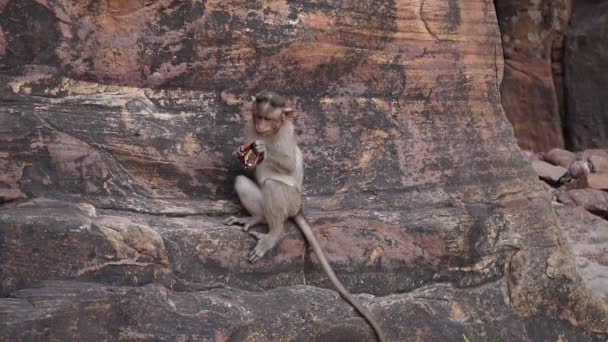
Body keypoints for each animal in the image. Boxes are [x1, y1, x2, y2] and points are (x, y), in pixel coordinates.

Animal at [226, 90, 388, 342]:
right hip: (268, 205)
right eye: (258, 117)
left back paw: (272, 235)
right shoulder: (248, 127)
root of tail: (298, 208)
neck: (270, 133)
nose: (261, 127)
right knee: (243, 182)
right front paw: (241, 153)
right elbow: (245, 170)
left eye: (269, 119)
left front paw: (263, 150)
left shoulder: (286, 132)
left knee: (273, 187)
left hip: (291, 202)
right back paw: (256, 219)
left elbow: (288, 163)